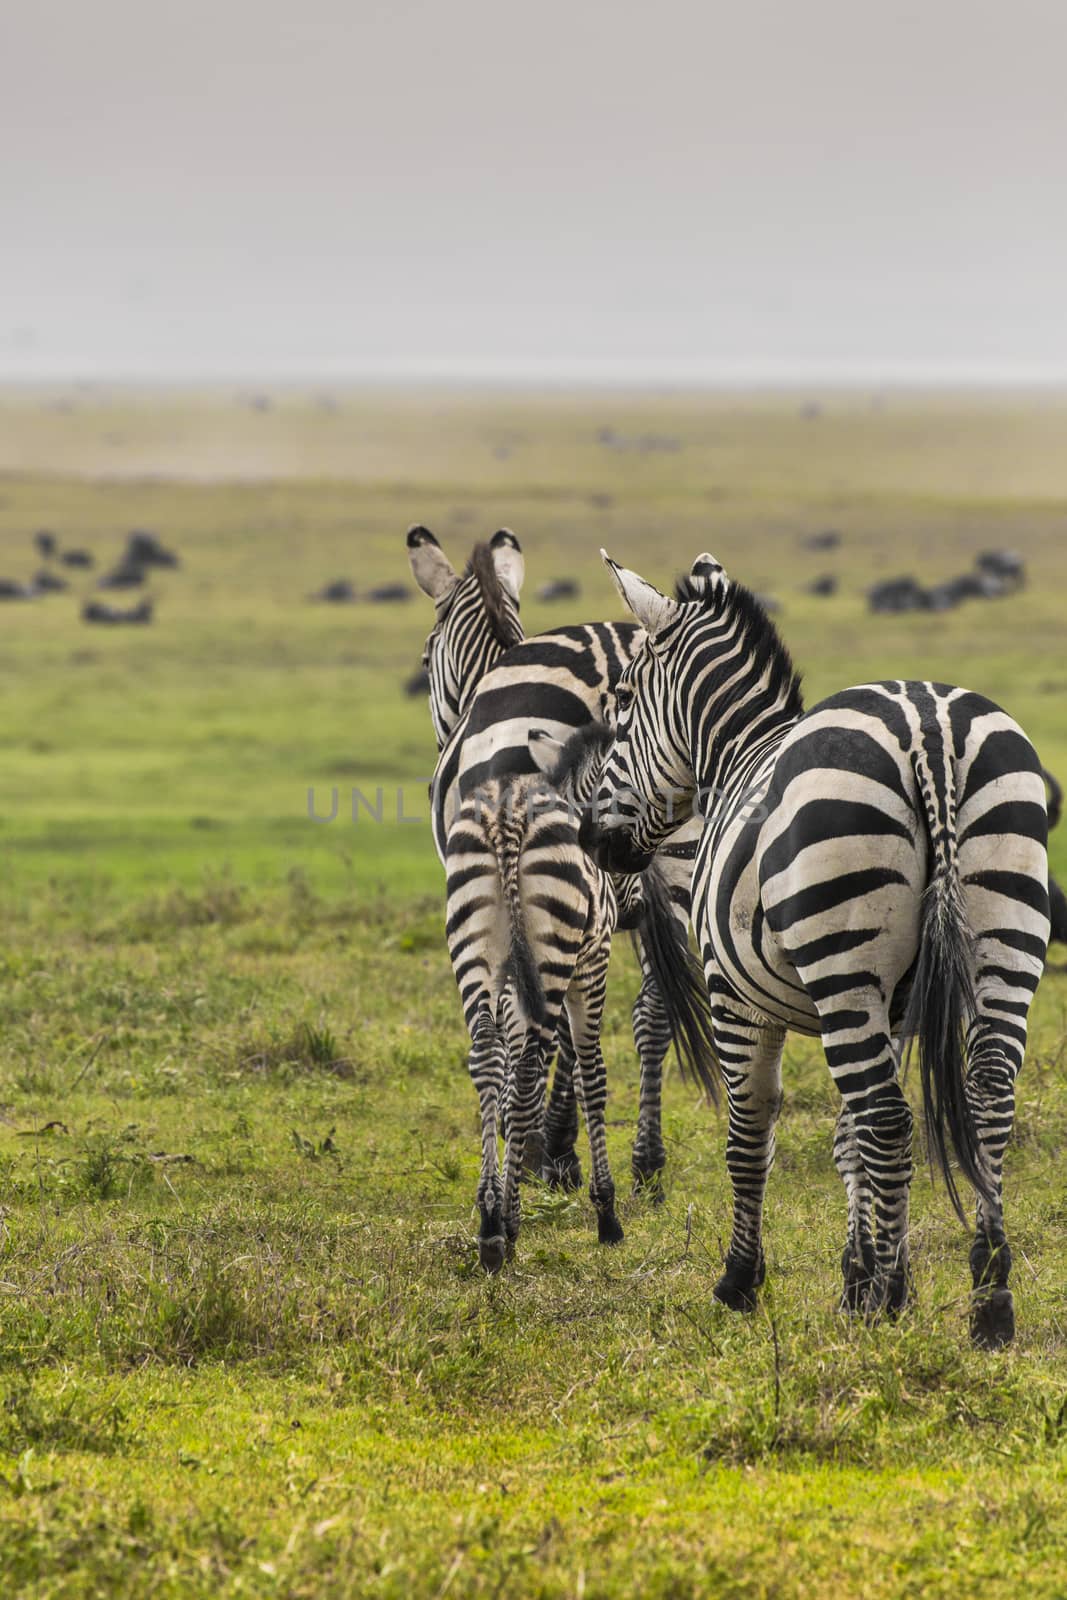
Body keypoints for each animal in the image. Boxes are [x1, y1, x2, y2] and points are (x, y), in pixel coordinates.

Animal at [447, 726, 713, 1273]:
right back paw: (504, 1226)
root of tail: (507, 815)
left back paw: (489, 1218)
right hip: (557, 956)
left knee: (487, 1058)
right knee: (530, 1069)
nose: (637, 909)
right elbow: (590, 1073)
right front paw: (606, 1212)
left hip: (476, 945)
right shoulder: (592, 963)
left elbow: (516, 1078)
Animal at [579, 553, 1049, 1350]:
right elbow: (846, 1139)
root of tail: (927, 726)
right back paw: (989, 1298)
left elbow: (751, 1135)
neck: (737, 753)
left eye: (620, 716)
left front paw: (745, 1281)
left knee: (890, 1120)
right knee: (984, 1099)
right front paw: (856, 1274)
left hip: (843, 961)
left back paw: (893, 1303)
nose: (594, 840)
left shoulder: (735, 998)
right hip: (1003, 939)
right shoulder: (889, 1010)